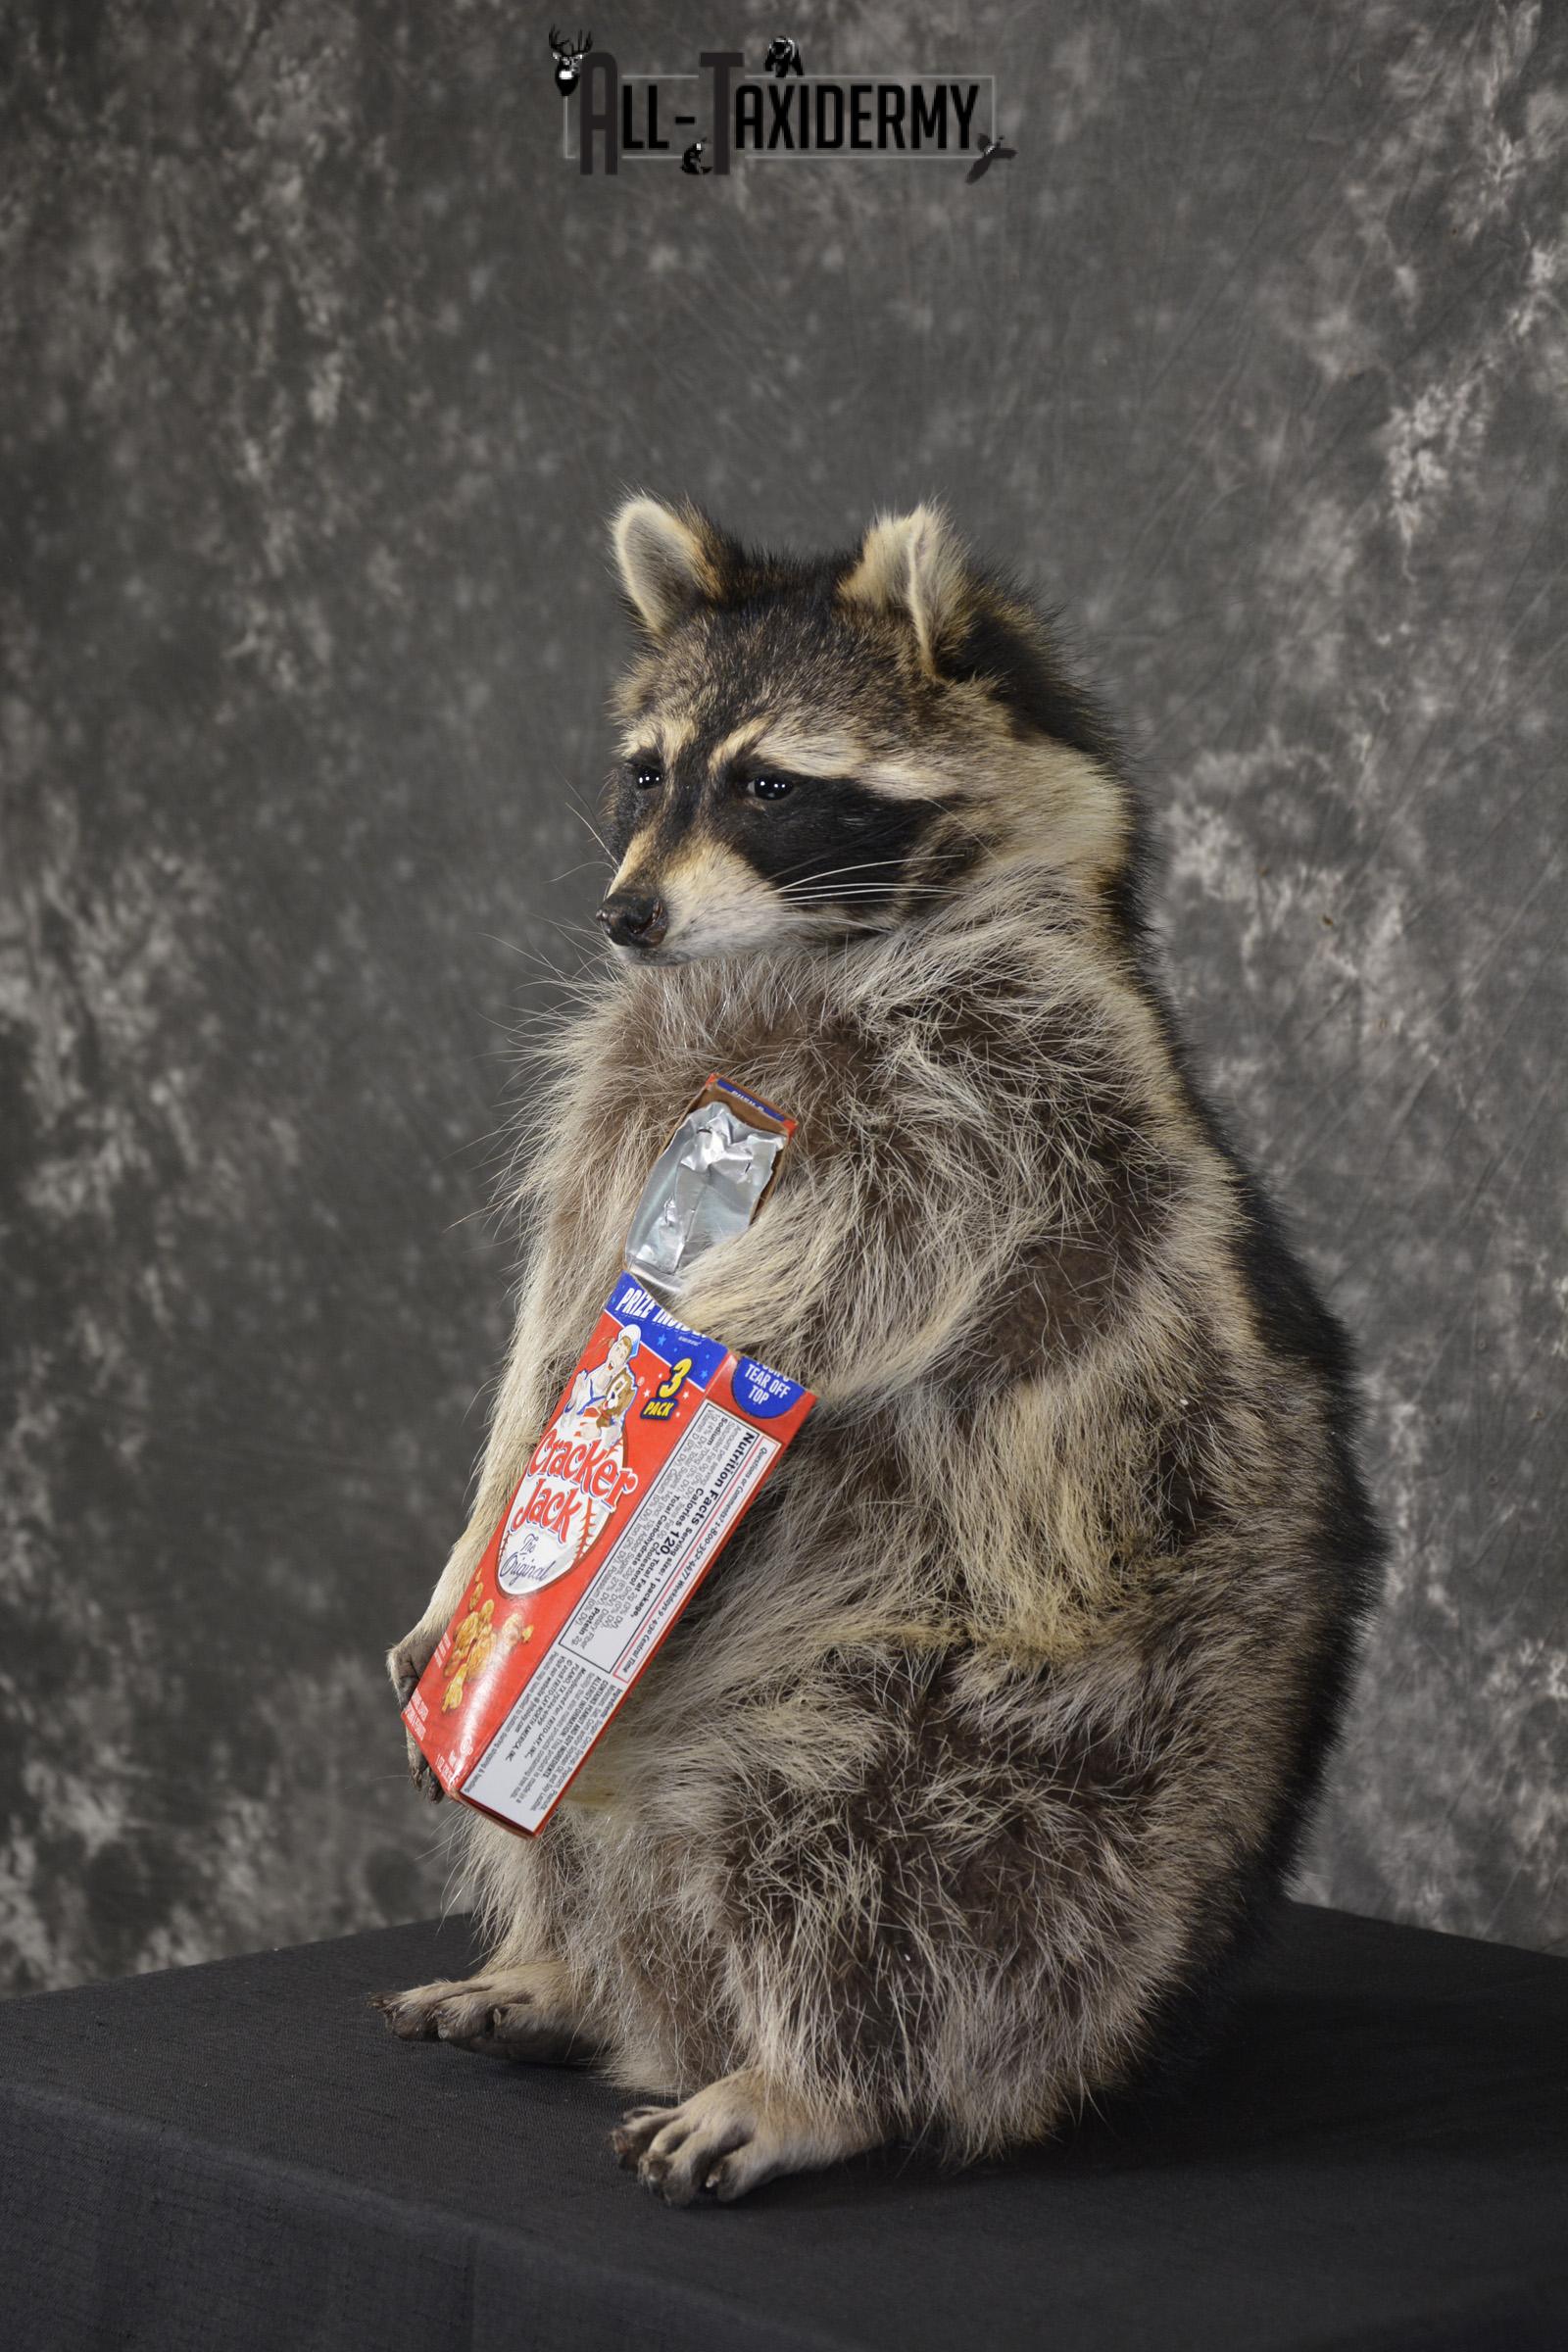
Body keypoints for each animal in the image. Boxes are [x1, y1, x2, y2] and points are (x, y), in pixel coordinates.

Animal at [374, 497, 1381, 2206]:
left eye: (772, 785)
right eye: (649, 772)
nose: (626, 915)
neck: (784, 954)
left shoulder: (1028, 1084)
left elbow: (884, 1258)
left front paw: (692, 1351)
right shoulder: (636, 1081)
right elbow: (562, 1290)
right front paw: (493, 1515)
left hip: (1038, 1728)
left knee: (860, 1840)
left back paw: (812, 2074)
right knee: (579, 1828)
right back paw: (563, 1964)